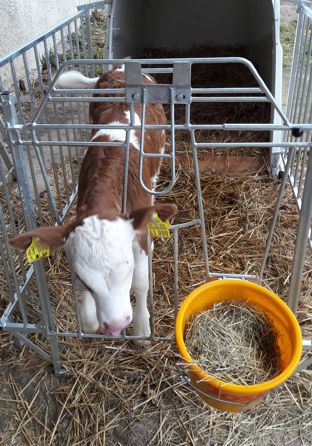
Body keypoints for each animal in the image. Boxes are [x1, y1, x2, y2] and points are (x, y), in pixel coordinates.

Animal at [9, 65, 177, 338]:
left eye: (128, 267)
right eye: (84, 278)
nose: (117, 325)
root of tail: (120, 67)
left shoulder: (140, 234)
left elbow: (142, 282)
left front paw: (142, 328)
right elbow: (85, 309)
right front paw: (89, 319)